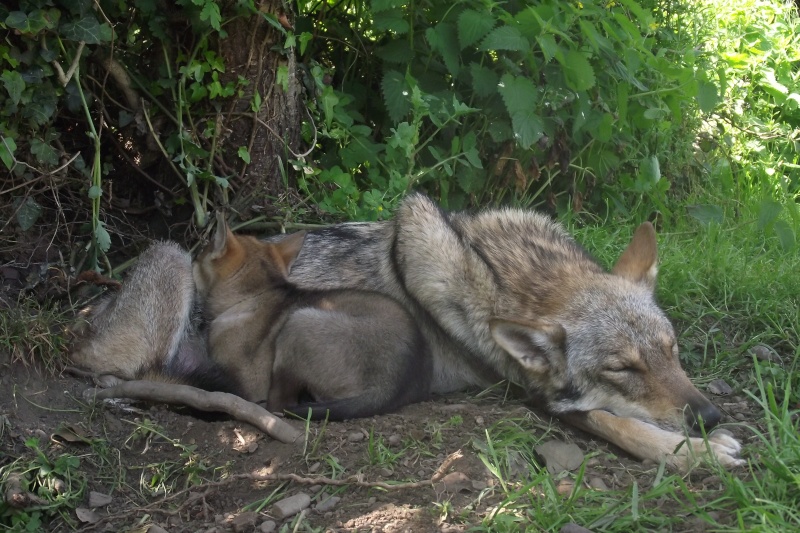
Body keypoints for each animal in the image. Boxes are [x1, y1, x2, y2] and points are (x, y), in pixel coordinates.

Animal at [268, 193, 744, 468]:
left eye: (672, 350)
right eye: (622, 370)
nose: (710, 418)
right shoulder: (541, 398)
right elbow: (621, 424)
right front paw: (699, 452)